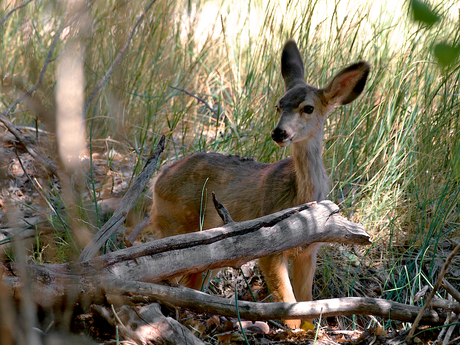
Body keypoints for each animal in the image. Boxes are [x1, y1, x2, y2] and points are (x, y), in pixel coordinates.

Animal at [147, 39, 370, 328]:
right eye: (279, 105)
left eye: (308, 107)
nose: (279, 132)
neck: (300, 196)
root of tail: (157, 180)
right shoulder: (269, 243)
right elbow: (288, 303)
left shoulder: (309, 251)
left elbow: (307, 302)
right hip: (176, 227)